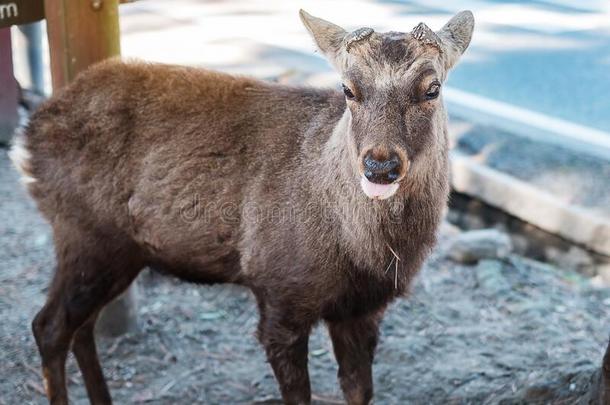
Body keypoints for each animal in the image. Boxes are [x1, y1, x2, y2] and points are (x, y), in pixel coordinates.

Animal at [10, 9, 476, 404]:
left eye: (432, 88)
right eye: (348, 89)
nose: (380, 166)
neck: (361, 254)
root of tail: (26, 137)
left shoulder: (364, 309)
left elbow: (359, 391)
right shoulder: (279, 291)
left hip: (120, 252)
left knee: (80, 327)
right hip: (86, 233)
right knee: (48, 326)